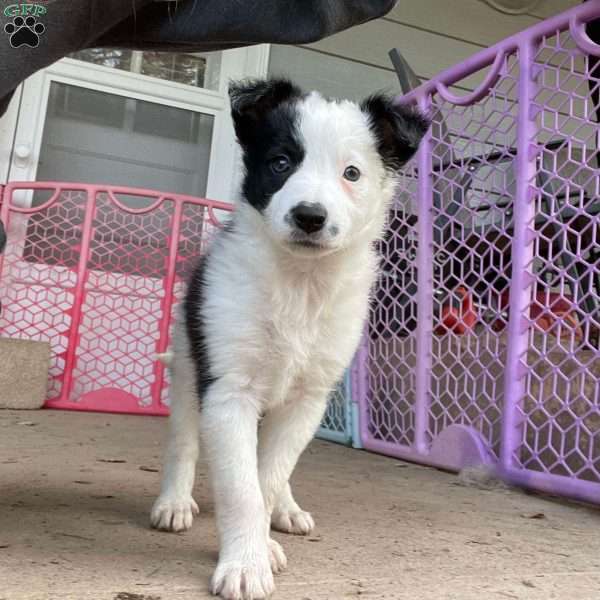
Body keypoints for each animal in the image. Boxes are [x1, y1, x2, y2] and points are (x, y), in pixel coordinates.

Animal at [152, 79, 428, 600]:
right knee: (183, 442)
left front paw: (259, 544)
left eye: (352, 173)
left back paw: (286, 508)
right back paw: (174, 501)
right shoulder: (229, 391)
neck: (301, 284)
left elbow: (267, 478)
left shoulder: (308, 399)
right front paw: (245, 564)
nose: (309, 216)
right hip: (188, 366)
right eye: (281, 163)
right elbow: (242, 489)